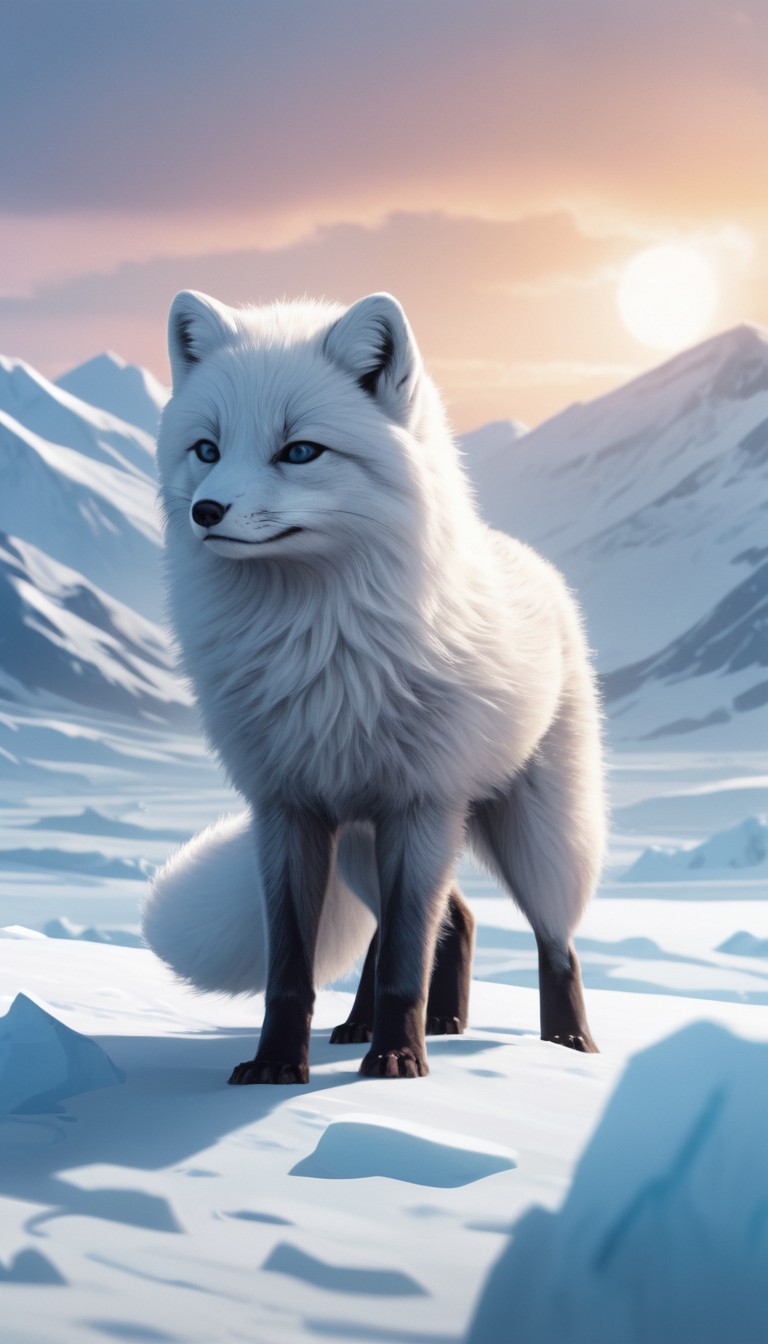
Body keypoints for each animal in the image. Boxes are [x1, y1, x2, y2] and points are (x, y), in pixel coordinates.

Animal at [141, 289, 605, 1084]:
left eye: (300, 450)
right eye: (207, 449)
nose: (207, 511)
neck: (316, 648)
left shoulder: (421, 804)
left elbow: (404, 964)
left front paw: (397, 1060)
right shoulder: (288, 810)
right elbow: (293, 968)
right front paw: (275, 1066)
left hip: (531, 836)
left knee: (552, 941)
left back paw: (565, 1045)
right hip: (362, 844)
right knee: (442, 921)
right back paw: (399, 1024)